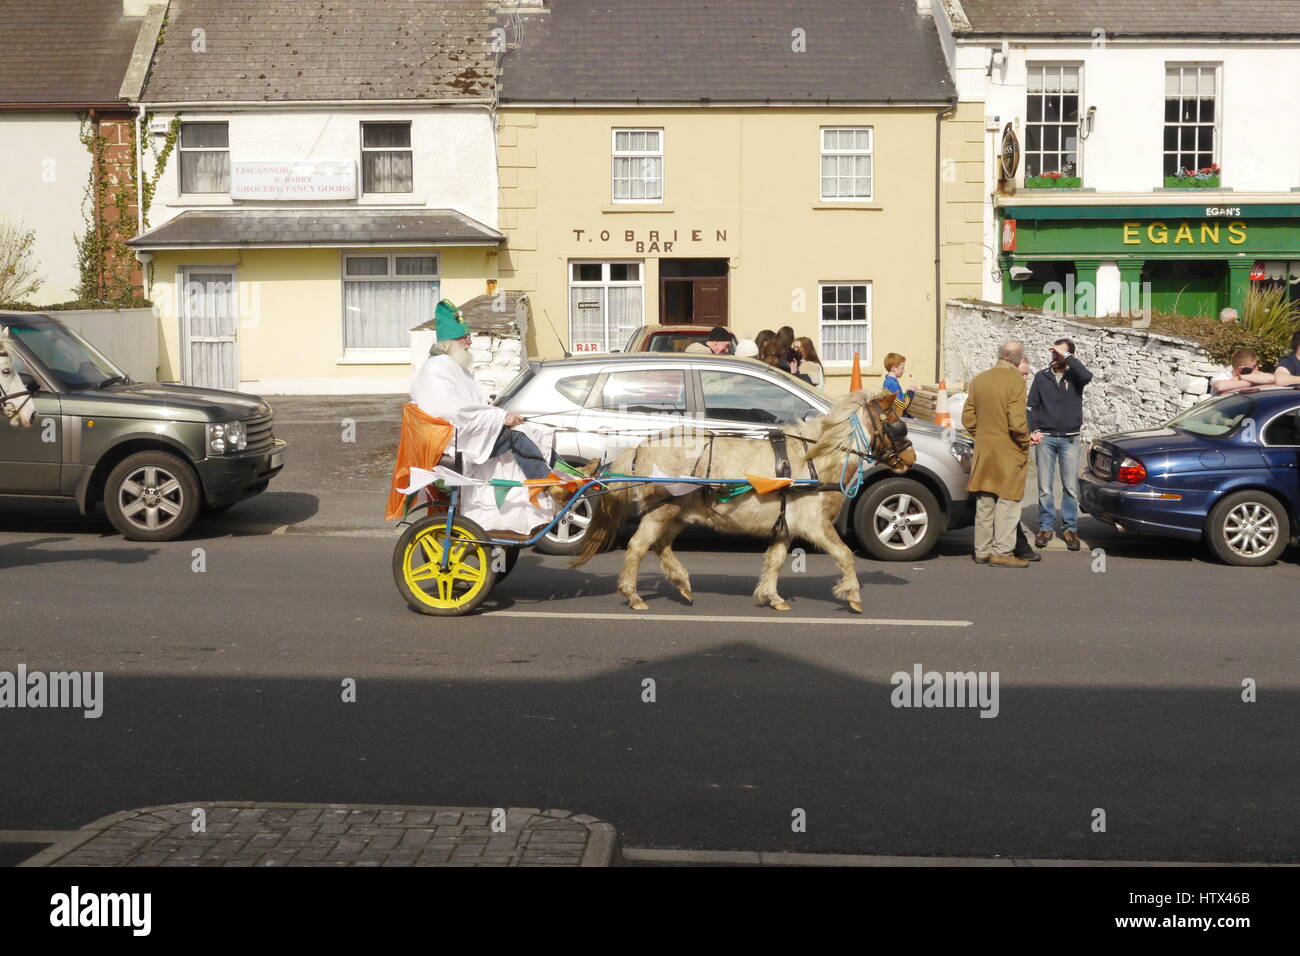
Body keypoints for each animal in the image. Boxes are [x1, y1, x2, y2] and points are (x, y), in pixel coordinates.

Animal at [574, 390, 920, 613]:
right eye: (895, 422)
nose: (911, 458)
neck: (815, 458)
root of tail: (642, 446)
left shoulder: (785, 525)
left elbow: (776, 560)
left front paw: (771, 596)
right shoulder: (816, 525)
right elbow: (845, 555)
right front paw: (852, 595)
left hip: (677, 513)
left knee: (661, 545)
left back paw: (682, 583)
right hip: (663, 510)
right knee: (638, 547)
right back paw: (633, 595)